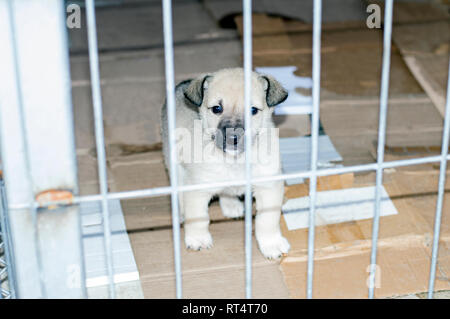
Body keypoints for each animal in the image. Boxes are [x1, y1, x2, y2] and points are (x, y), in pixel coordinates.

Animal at [162, 68, 292, 260]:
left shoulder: (268, 186)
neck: (236, 160)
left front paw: (271, 243)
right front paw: (198, 238)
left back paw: (231, 205)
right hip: (174, 164)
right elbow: (198, 217)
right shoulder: (197, 188)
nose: (233, 137)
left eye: (253, 110)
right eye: (217, 108)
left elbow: (267, 220)